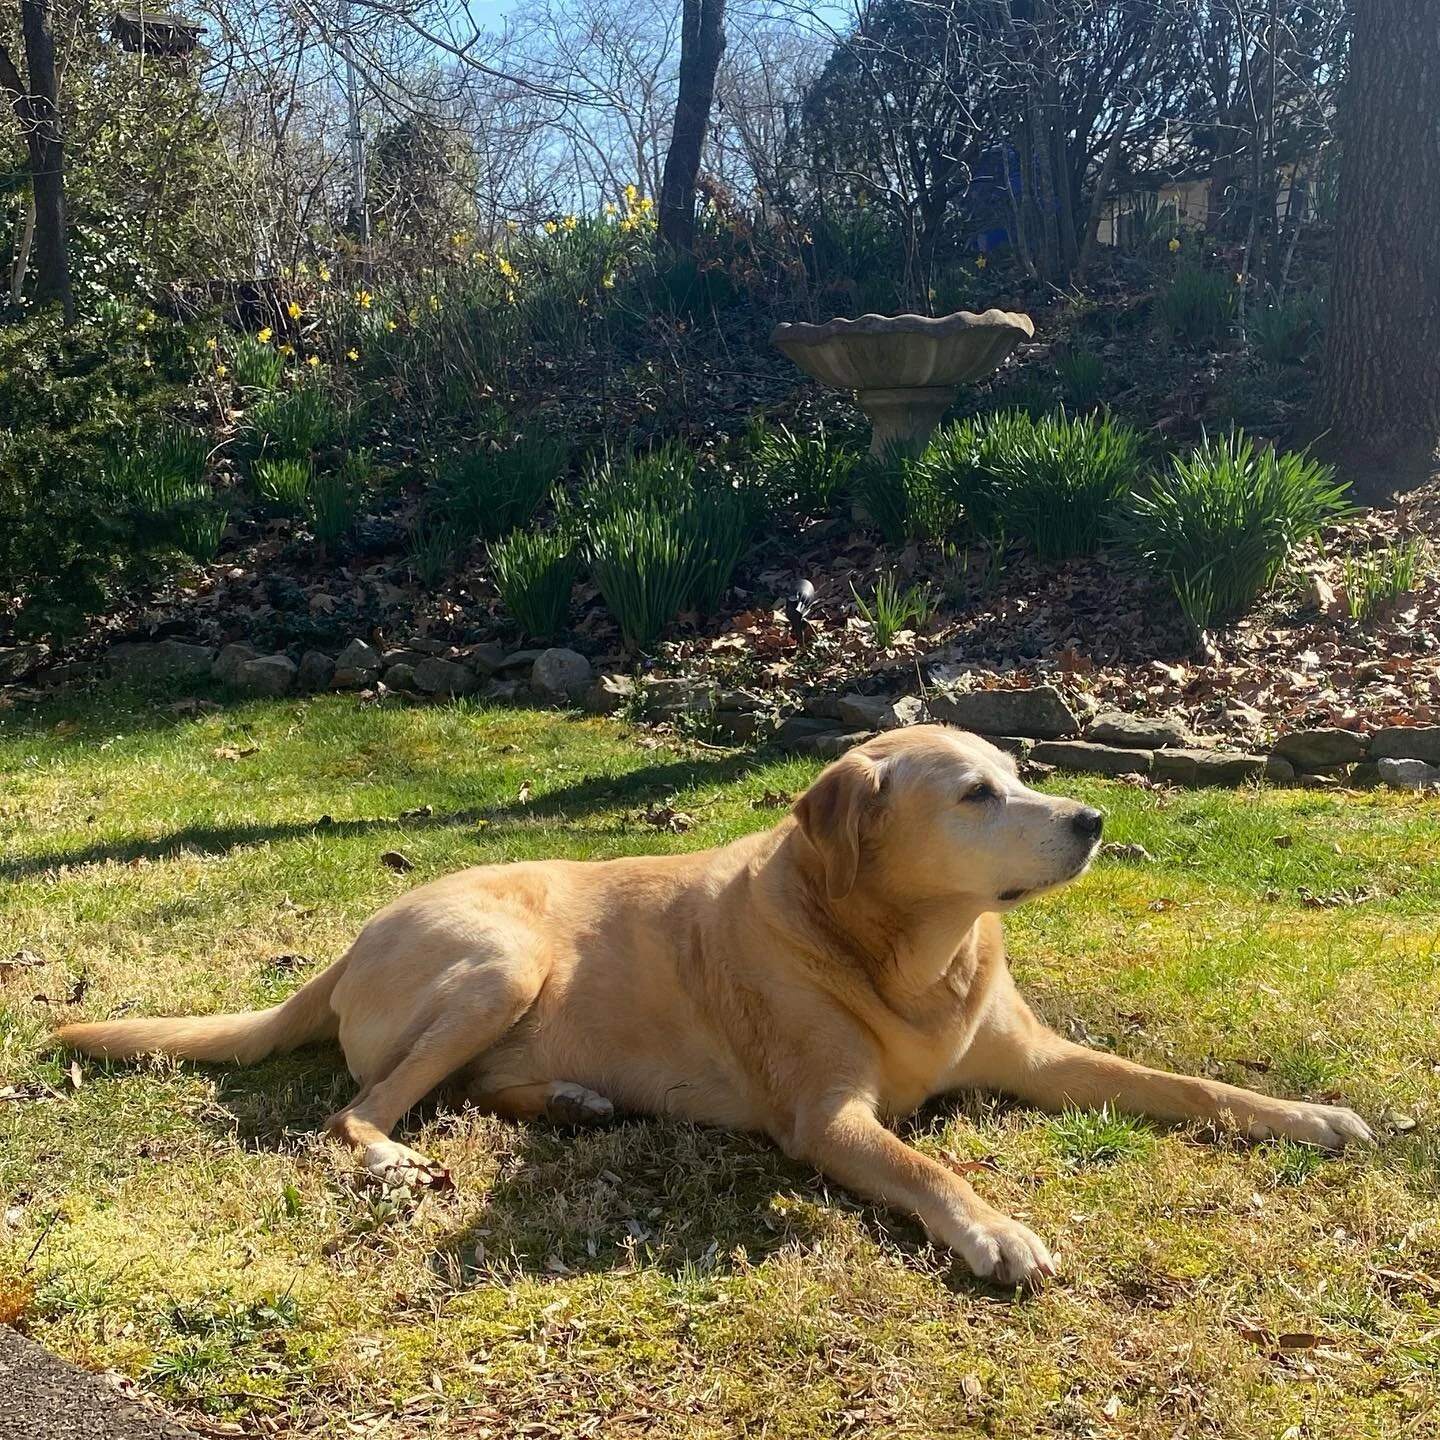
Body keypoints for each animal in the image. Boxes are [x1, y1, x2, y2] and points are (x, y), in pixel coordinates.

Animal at [61, 725, 1376, 1290]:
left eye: (1024, 772)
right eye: (974, 793)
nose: (1095, 818)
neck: (909, 952)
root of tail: (344, 948)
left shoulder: (1043, 1059)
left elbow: (1183, 1085)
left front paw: (1311, 1117)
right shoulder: (830, 1119)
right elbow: (928, 1165)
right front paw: (993, 1228)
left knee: (467, 1088)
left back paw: (577, 1103)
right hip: (499, 963)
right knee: (353, 1111)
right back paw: (394, 1161)